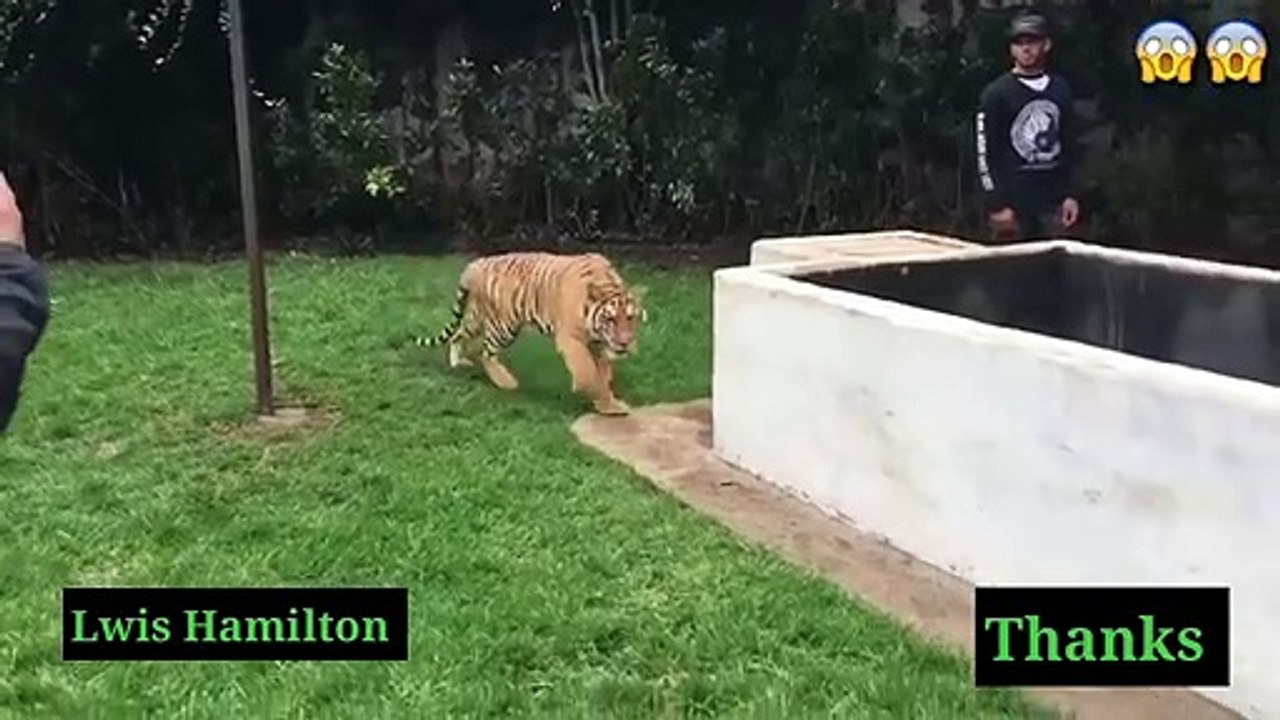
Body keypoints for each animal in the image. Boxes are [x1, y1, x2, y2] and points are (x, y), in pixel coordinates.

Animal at [415, 251, 647, 416]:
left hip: (477, 316)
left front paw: (608, 405)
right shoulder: (571, 338)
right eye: (610, 319)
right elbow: (587, 371)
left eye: (630, 318)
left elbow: (603, 375)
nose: (624, 343)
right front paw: (586, 388)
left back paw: (457, 363)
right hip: (503, 325)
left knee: (458, 334)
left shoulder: (598, 344)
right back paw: (506, 382)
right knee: (486, 353)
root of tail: (476, 264)